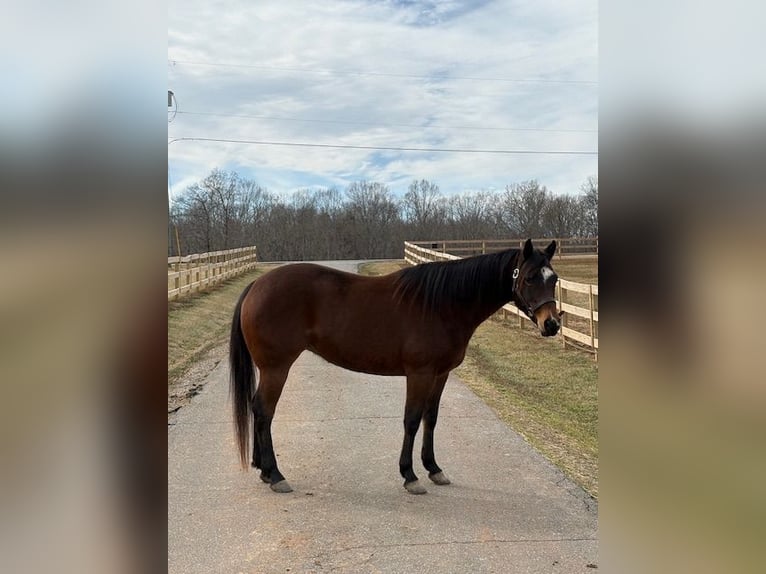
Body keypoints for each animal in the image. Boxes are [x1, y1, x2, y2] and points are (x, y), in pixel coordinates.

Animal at [229, 238, 561, 494]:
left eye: (554, 279)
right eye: (529, 277)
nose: (552, 325)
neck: (443, 305)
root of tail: (256, 285)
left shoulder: (440, 374)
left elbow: (430, 418)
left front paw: (433, 468)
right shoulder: (419, 374)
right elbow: (411, 420)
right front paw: (410, 475)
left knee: (258, 409)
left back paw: (263, 470)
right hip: (276, 368)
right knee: (264, 411)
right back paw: (275, 475)